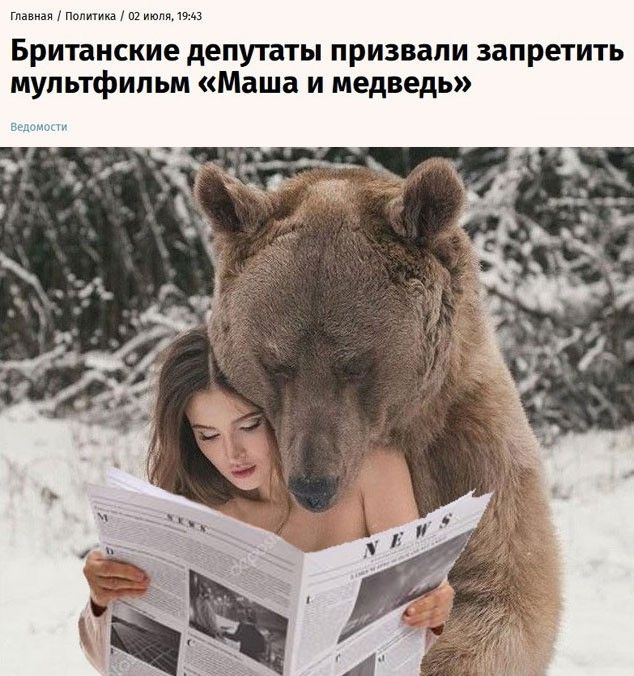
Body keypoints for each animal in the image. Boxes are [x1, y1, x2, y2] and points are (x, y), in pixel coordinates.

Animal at [194, 158, 562, 675]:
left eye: (355, 364)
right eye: (276, 363)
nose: (313, 486)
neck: (400, 429)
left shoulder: (470, 445)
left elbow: (504, 588)